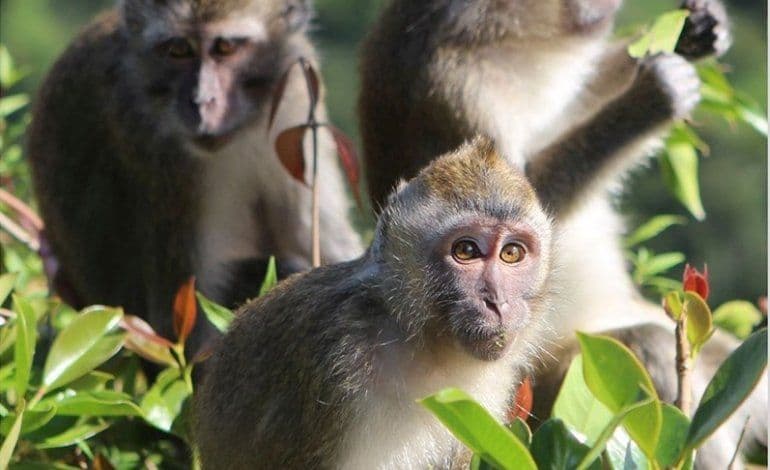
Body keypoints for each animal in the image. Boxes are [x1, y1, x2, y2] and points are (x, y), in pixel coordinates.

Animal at [26, 0, 363, 353]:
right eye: (178, 50)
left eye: (225, 48)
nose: (202, 102)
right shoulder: (155, 150)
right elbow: (180, 332)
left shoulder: (295, 95)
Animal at [358, 0, 765, 467]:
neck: (502, 40)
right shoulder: (454, 92)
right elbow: (516, 203)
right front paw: (651, 98)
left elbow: (576, 100)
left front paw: (693, 33)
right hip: (540, 396)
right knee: (648, 344)